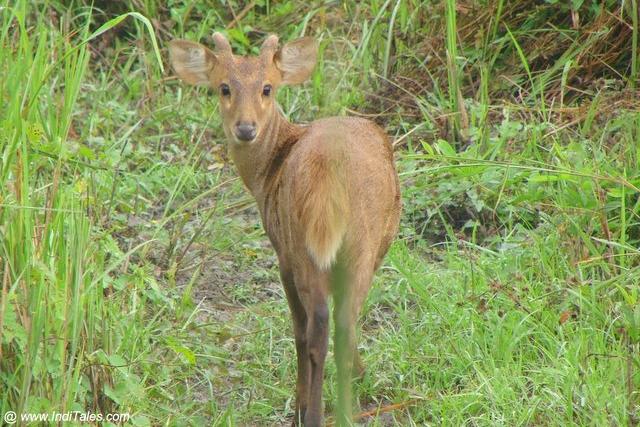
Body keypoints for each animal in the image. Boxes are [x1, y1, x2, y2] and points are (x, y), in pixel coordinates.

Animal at [168, 31, 402, 426]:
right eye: (224, 87)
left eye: (267, 87)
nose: (246, 128)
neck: (269, 170)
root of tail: (328, 171)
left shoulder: (283, 254)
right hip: (348, 246)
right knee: (332, 327)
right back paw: (332, 406)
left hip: (318, 248)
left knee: (322, 327)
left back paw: (321, 409)